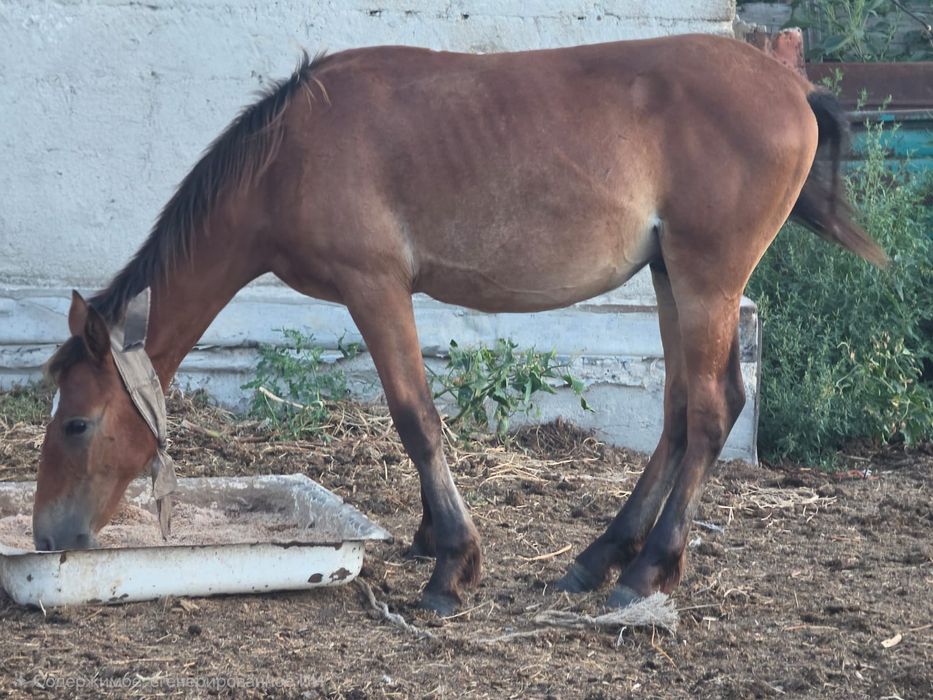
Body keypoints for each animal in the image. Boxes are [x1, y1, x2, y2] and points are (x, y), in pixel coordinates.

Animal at [34, 34, 886, 614]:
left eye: (77, 423)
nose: (47, 536)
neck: (288, 154)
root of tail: (789, 87)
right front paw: (428, 541)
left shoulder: (375, 288)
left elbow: (415, 419)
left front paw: (452, 566)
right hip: (671, 276)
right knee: (681, 414)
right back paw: (599, 557)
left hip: (706, 277)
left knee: (708, 413)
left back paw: (647, 570)